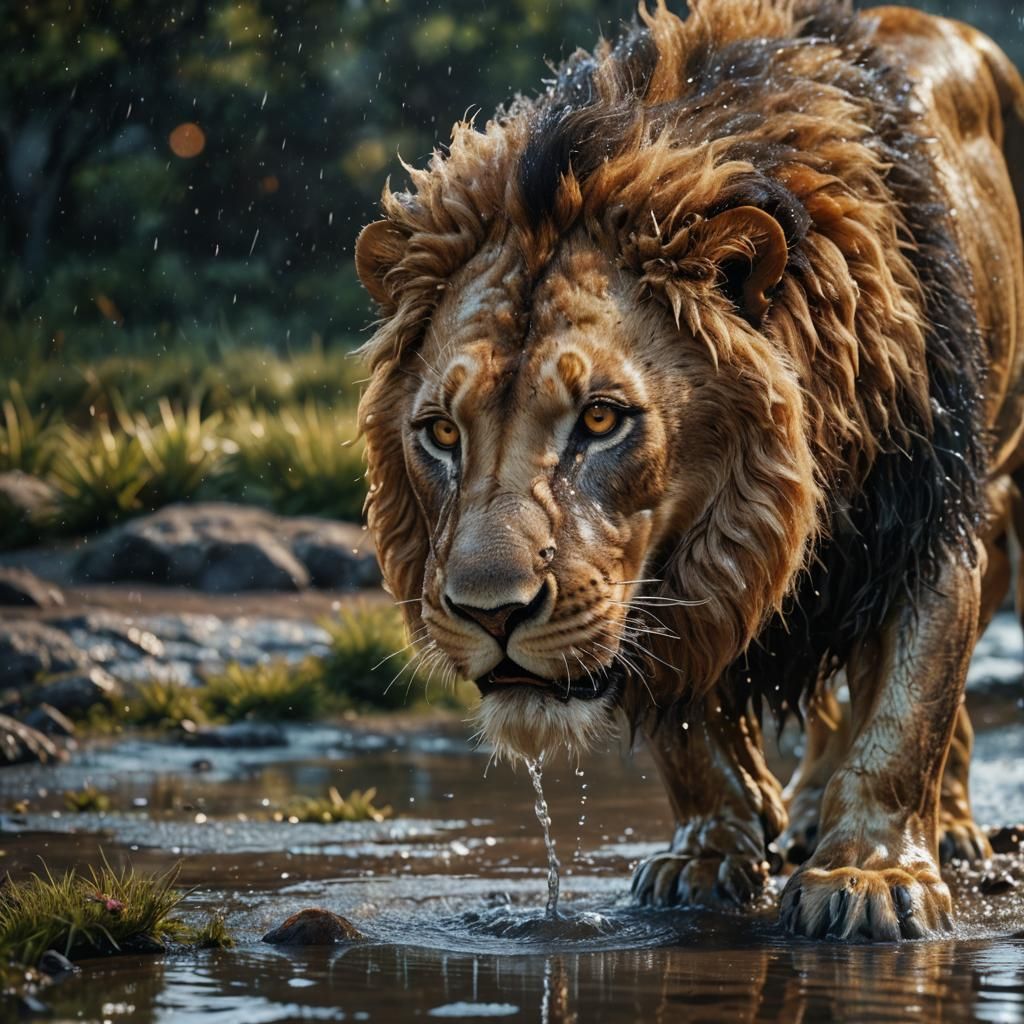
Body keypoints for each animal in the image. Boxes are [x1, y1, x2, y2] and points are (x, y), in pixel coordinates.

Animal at [354, 0, 1024, 941]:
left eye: (601, 418)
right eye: (442, 433)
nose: (491, 614)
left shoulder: (925, 521)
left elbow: (909, 710)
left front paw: (871, 875)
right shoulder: (664, 584)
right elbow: (686, 729)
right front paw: (705, 857)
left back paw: (948, 828)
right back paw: (804, 806)